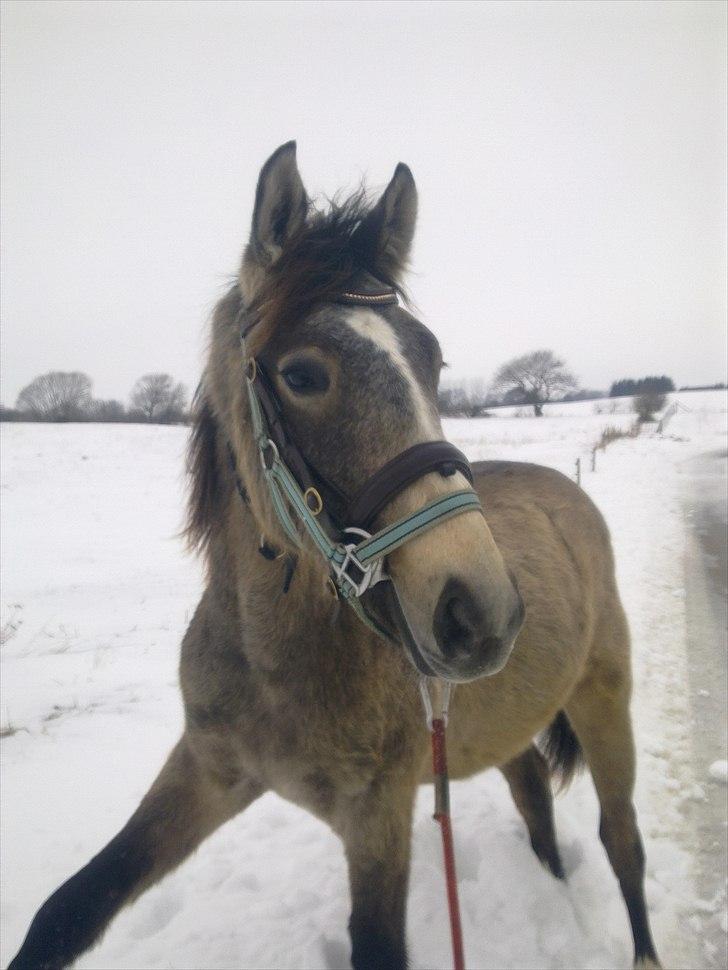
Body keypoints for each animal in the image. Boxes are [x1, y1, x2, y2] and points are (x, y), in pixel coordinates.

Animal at [8, 144, 664, 968]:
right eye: (302, 374)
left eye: (433, 362)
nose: (482, 611)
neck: (276, 662)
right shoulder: (207, 771)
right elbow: (67, 909)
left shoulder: (377, 819)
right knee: (535, 794)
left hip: (605, 697)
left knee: (623, 839)